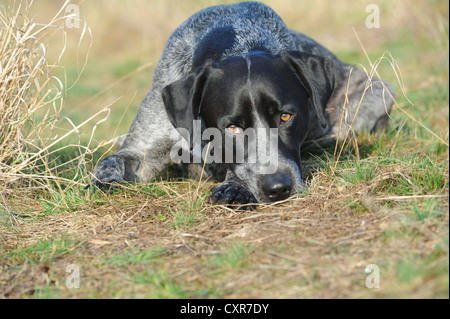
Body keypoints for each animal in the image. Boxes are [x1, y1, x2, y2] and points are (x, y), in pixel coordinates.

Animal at [91, 1, 394, 210]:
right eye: (233, 127)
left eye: (286, 117)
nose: (278, 188)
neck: (239, 39)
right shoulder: (143, 149)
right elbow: (111, 161)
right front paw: (100, 181)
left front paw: (234, 186)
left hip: (378, 93)